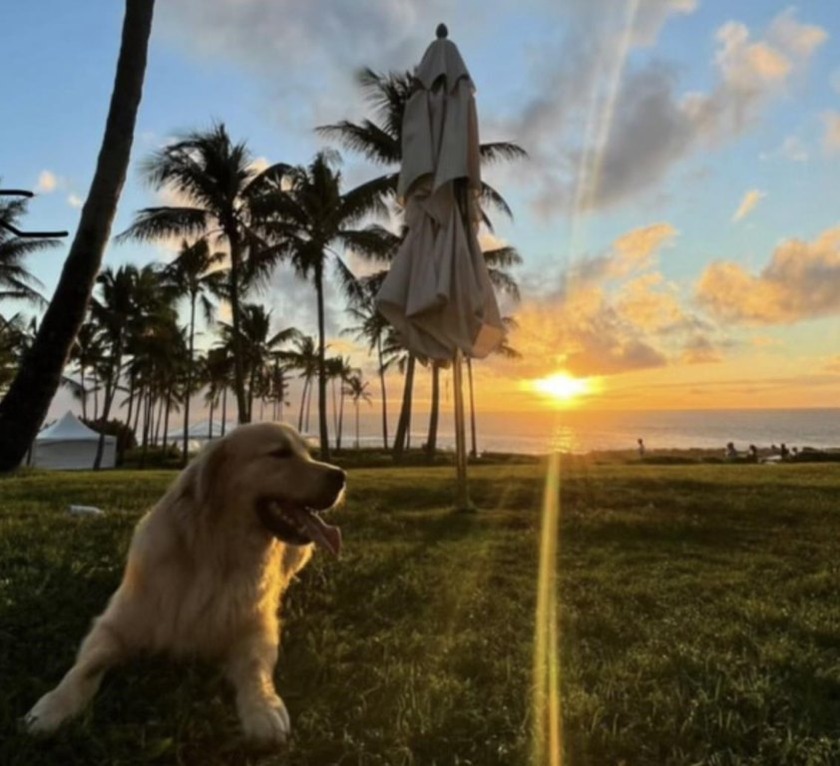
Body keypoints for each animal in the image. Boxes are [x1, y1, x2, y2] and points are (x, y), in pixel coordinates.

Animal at [24, 424, 344, 748]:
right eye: (279, 453)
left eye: (309, 452)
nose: (341, 476)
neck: (216, 556)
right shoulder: (113, 624)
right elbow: (86, 667)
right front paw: (53, 706)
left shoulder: (256, 626)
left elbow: (255, 668)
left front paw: (264, 707)